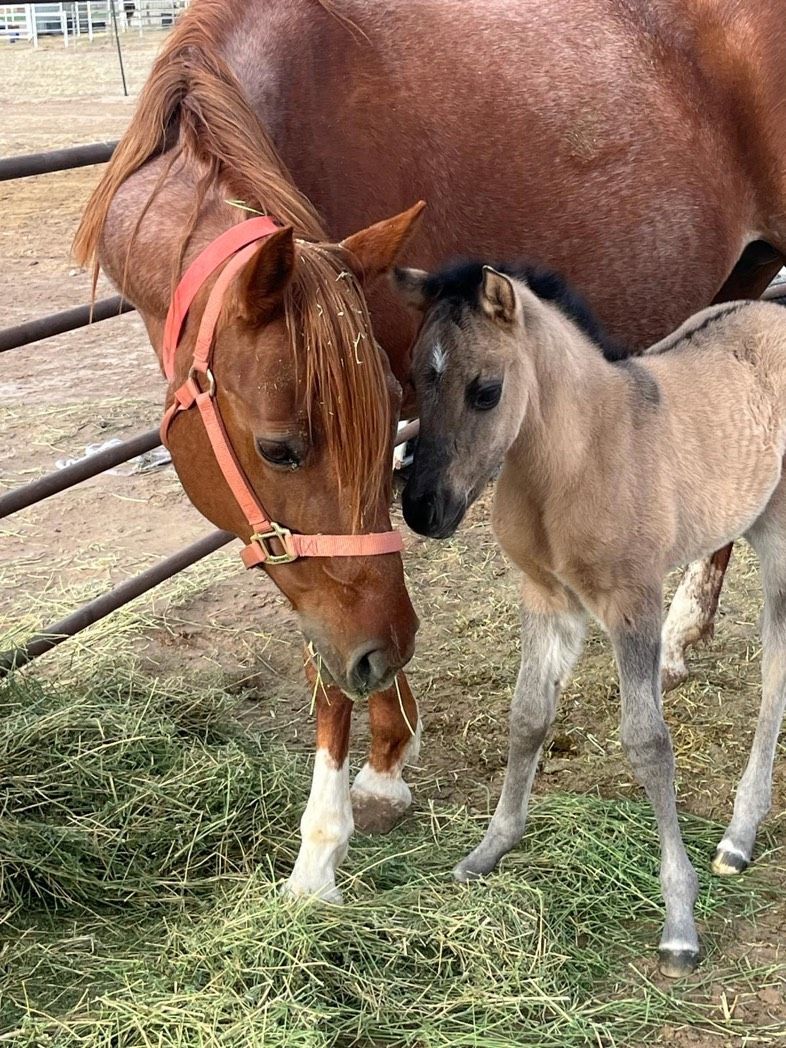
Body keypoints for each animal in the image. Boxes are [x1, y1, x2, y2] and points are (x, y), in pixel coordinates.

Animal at [74, 0, 786, 902]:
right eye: (279, 449)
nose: (387, 655)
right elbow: (353, 605)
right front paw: (385, 761)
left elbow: (333, 650)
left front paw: (321, 848)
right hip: (739, 281)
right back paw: (681, 634)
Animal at [395, 257, 786, 975]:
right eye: (415, 376)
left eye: (486, 391)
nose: (423, 510)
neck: (580, 459)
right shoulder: (549, 601)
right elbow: (527, 718)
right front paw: (490, 849)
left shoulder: (633, 603)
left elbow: (648, 745)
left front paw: (679, 921)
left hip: (777, 536)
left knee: (775, 677)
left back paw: (739, 836)